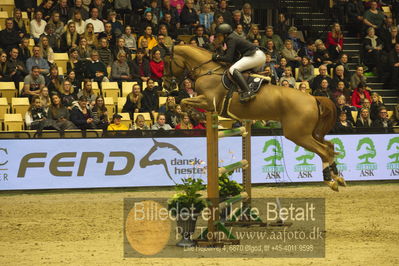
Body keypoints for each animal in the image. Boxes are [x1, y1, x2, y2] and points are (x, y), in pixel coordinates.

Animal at [165, 45, 346, 191]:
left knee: (324, 151)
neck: (208, 70)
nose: (167, 84)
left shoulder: (209, 101)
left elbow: (185, 101)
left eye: (168, 61)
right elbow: (184, 101)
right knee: (330, 146)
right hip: (310, 133)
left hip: (298, 134)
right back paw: (338, 177)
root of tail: (313, 98)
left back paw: (331, 181)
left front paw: (195, 114)